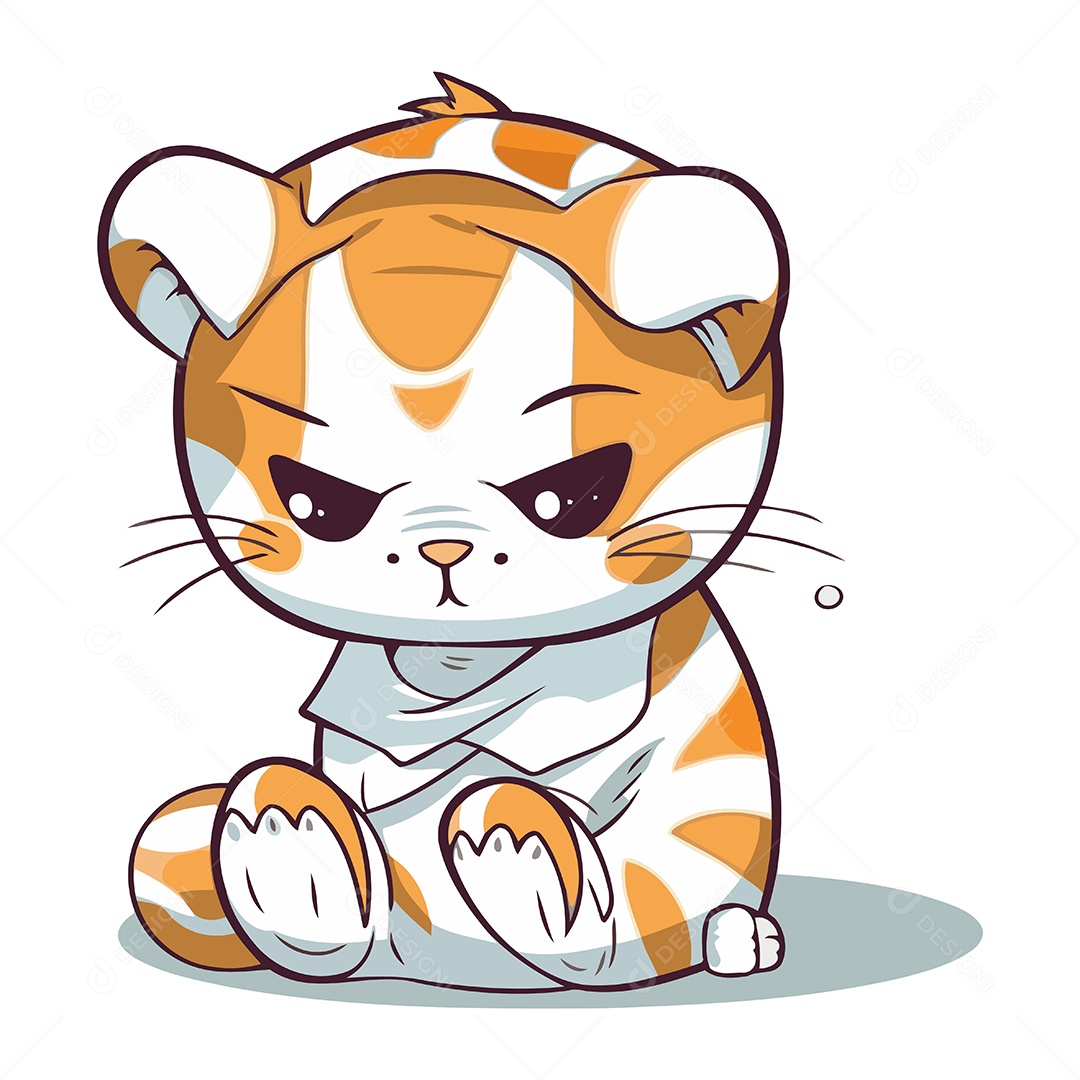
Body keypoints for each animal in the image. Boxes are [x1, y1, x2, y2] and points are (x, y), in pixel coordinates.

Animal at [99, 74, 790, 990]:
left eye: (569, 496)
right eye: (315, 504)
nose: (444, 550)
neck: (464, 672)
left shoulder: (704, 789)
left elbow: (652, 889)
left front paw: (518, 843)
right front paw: (297, 855)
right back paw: (290, 839)